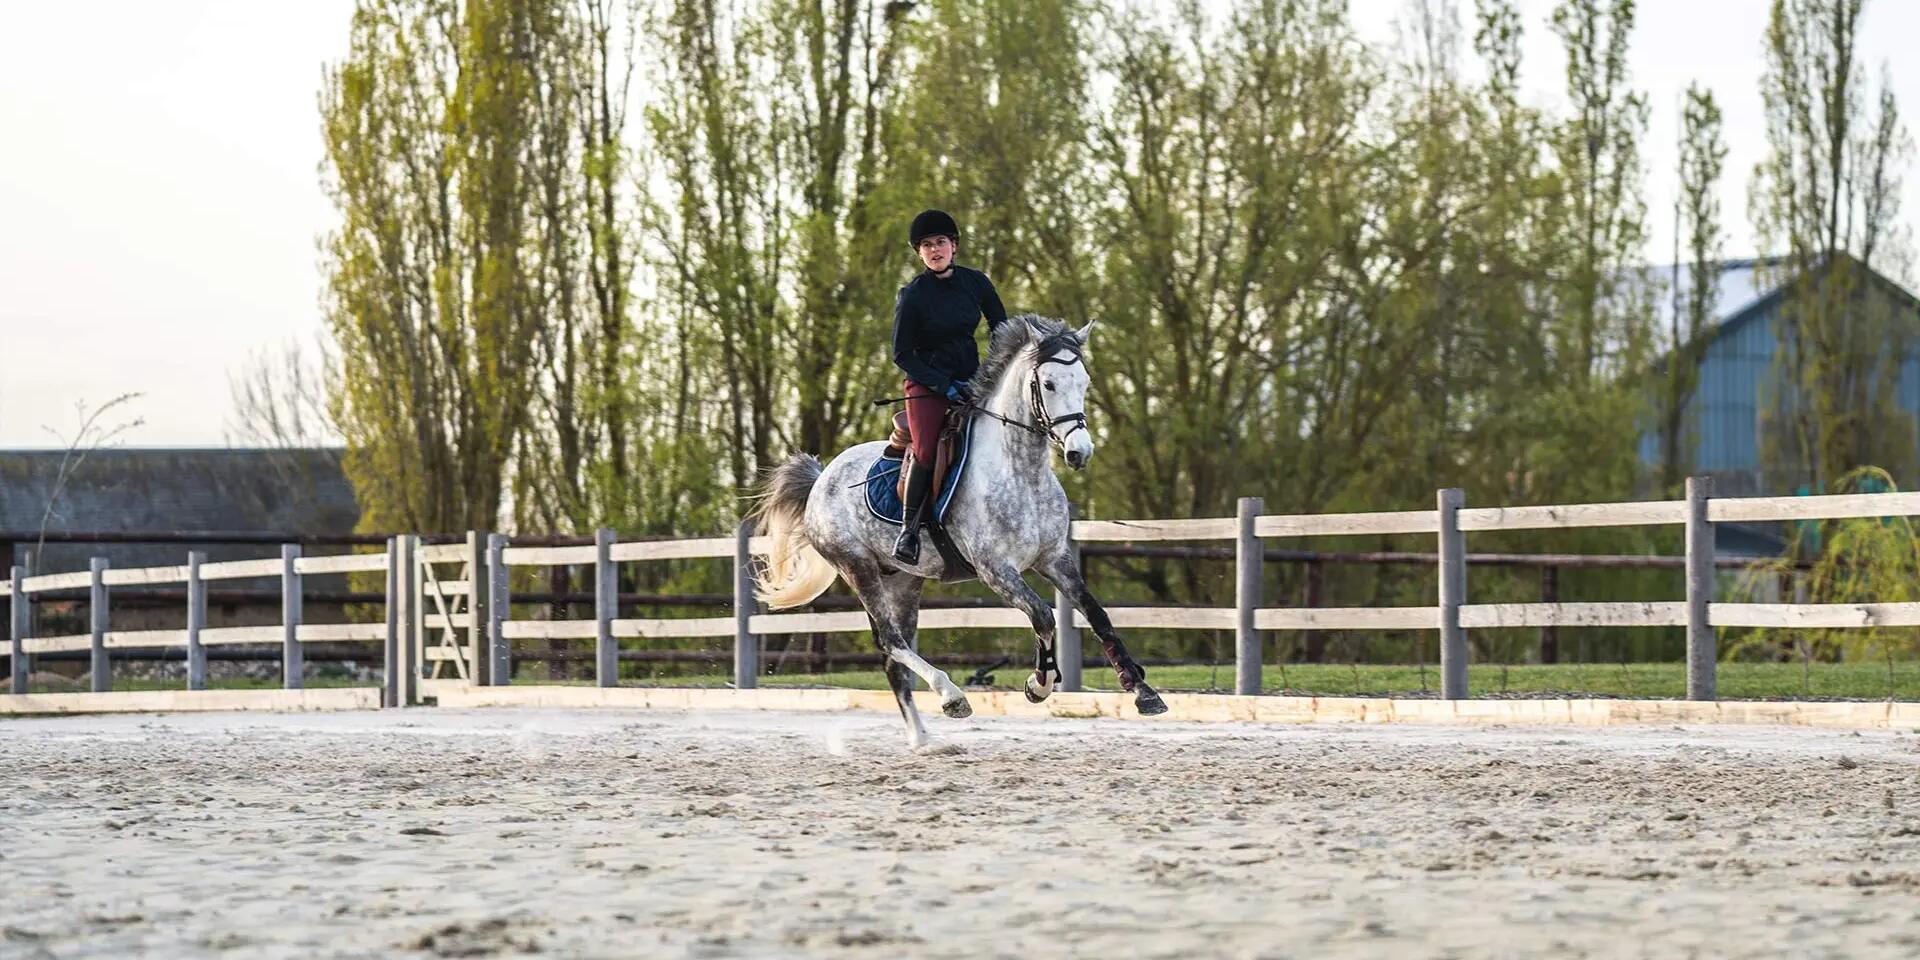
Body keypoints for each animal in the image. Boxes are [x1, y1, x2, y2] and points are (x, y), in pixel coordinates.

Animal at [748, 316, 1167, 748]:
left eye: (1084, 380)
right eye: (1049, 384)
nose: (1078, 452)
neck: (1021, 472)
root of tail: (821, 478)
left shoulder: (1054, 559)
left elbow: (1096, 615)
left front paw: (1142, 691)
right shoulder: (996, 570)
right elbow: (1043, 616)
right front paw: (1040, 684)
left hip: (903, 581)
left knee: (891, 654)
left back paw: (922, 738)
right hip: (857, 568)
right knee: (892, 641)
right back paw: (952, 697)